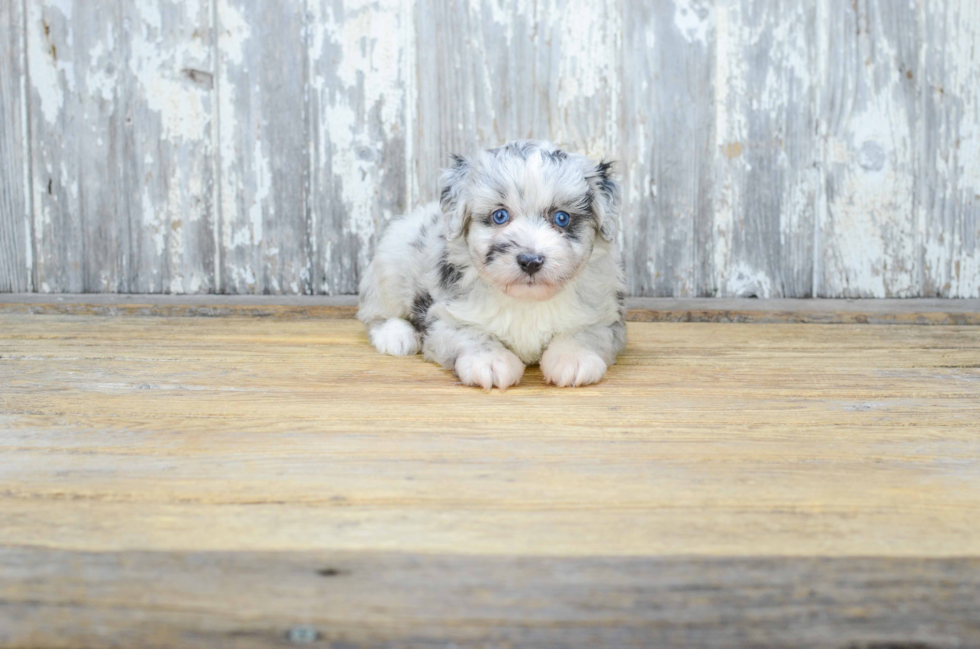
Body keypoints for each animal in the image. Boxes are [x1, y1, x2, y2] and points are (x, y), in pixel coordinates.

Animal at [356, 139, 624, 388]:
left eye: (561, 218)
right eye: (500, 216)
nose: (530, 261)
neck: (526, 301)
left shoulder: (605, 318)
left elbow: (584, 333)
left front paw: (573, 358)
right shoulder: (446, 318)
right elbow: (471, 334)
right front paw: (490, 361)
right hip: (391, 264)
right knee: (376, 313)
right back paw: (395, 335)